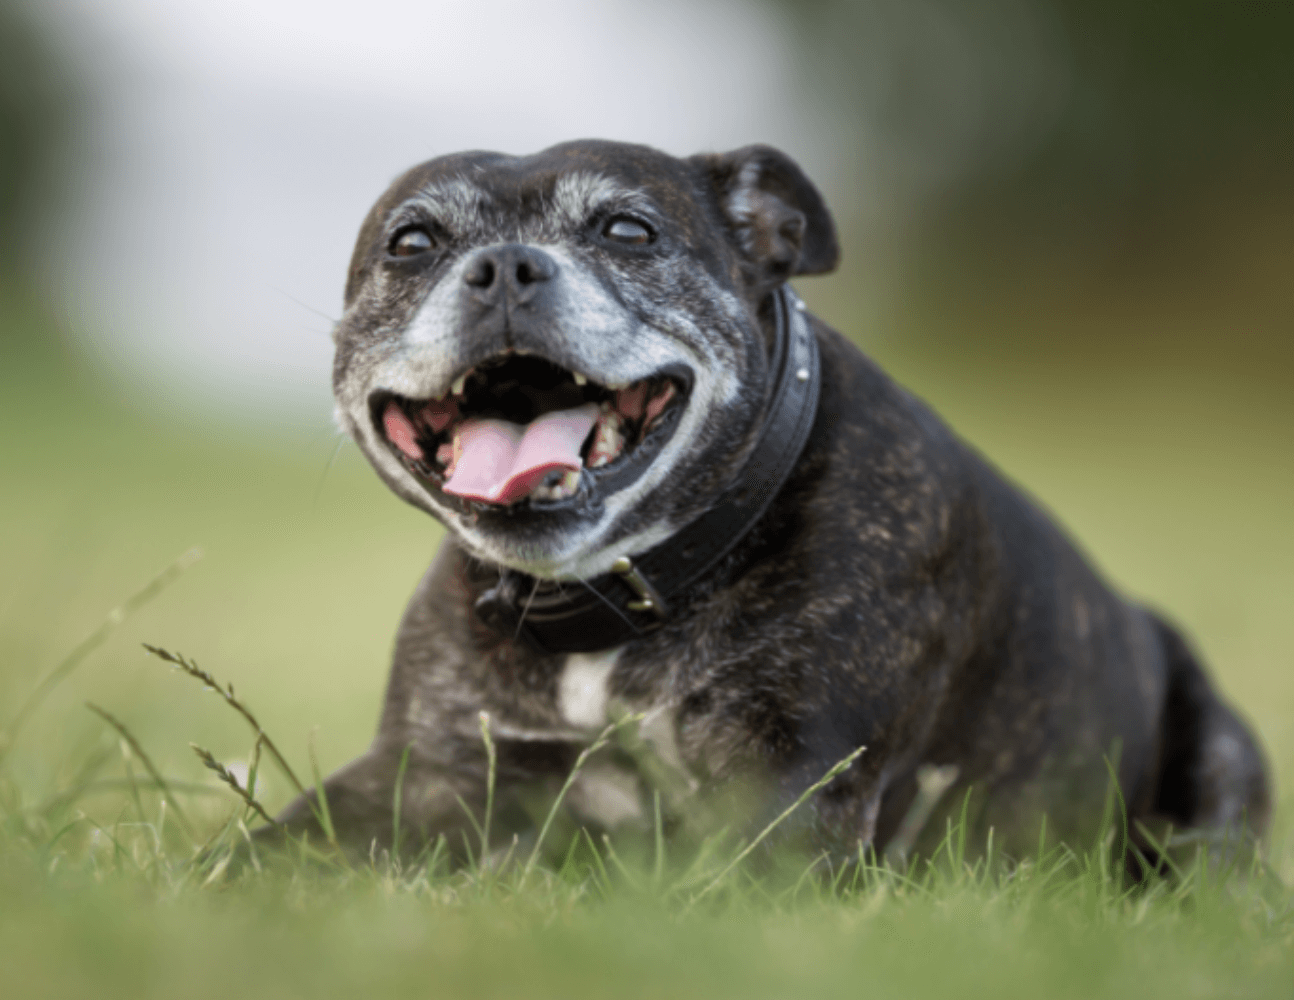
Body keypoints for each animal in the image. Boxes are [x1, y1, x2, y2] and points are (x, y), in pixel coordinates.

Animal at [270, 136, 1262, 864]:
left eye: (628, 231)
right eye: (412, 244)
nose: (505, 265)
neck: (619, 594)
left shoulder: (793, 790)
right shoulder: (420, 773)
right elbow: (263, 857)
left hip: (1218, 767)